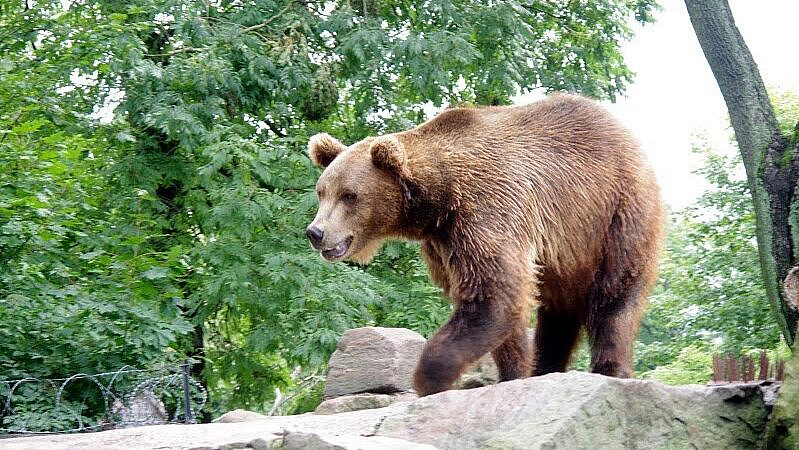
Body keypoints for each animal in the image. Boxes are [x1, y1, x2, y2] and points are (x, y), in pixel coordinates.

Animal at [306, 94, 664, 396]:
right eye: (321, 192)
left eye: (350, 195)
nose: (315, 232)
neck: (436, 201)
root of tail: (626, 134)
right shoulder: (443, 243)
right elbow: (504, 308)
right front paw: (513, 373)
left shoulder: (486, 211)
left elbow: (494, 294)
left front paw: (430, 380)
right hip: (568, 246)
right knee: (559, 309)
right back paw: (546, 368)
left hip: (616, 212)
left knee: (614, 294)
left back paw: (611, 368)